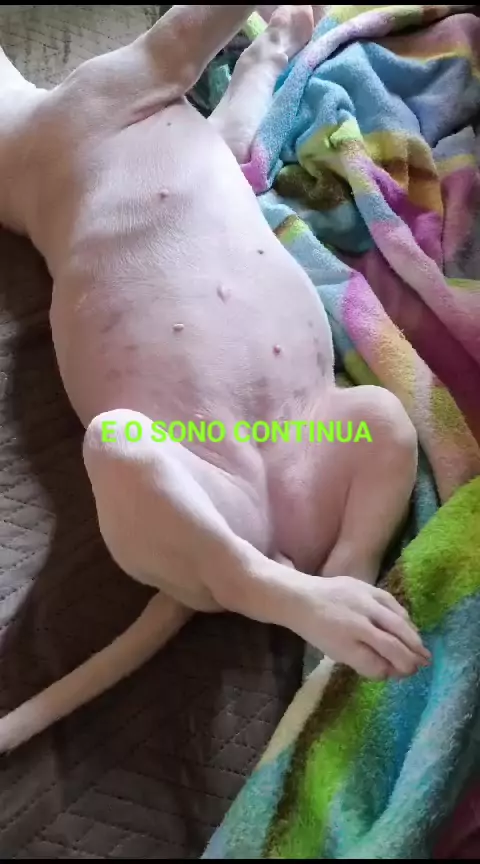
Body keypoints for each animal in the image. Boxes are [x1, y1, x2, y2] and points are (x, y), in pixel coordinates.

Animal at [0, 5, 429, 752]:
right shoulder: (151, 65)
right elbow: (194, 25)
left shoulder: (219, 135)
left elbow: (246, 89)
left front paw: (287, 28)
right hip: (126, 446)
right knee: (245, 577)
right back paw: (343, 620)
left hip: (378, 414)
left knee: (333, 557)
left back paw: (344, 644)